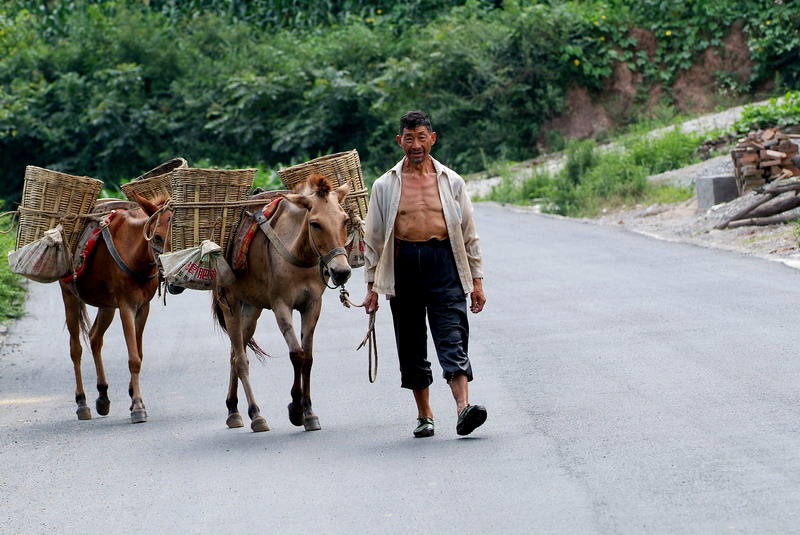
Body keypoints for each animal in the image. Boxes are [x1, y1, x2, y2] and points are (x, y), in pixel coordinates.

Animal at [59, 195, 172, 426]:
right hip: (69, 297)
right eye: (156, 236)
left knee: (94, 338)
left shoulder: (143, 308)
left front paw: (134, 398)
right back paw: (82, 403)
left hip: (106, 306)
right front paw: (137, 407)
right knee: (75, 348)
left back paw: (102, 396)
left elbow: (139, 353)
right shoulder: (126, 307)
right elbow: (133, 358)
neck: (134, 253)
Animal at [214, 174, 352, 434]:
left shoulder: (312, 305)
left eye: (345, 220)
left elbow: (308, 358)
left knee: (234, 354)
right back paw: (255, 414)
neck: (299, 253)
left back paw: (233, 409)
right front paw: (296, 410)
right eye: (315, 224)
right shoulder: (281, 306)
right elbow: (296, 354)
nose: (341, 272)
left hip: (252, 309)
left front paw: (309, 412)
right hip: (230, 304)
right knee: (241, 359)